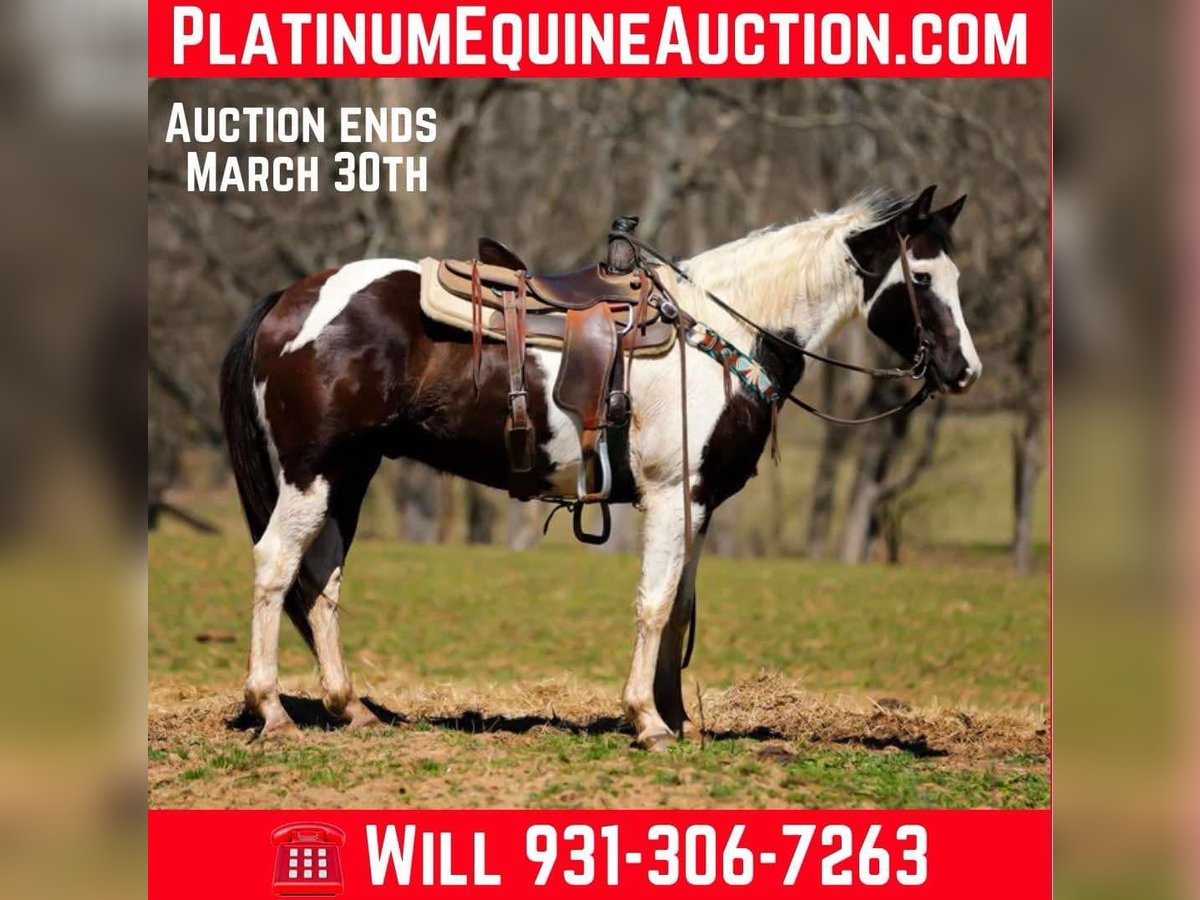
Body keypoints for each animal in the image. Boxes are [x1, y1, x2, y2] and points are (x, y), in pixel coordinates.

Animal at [218, 185, 981, 750]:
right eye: (920, 276)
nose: (963, 371)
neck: (723, 332)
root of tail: (288, 300)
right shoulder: (671, 496)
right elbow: (654, 604)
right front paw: (647, 720)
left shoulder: (697, 502)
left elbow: (681, 607)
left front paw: (679, 719)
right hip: (312, 474)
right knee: (275, 567)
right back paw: (273, 712)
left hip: (349, 474)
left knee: (320, 581)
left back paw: (349, 708)